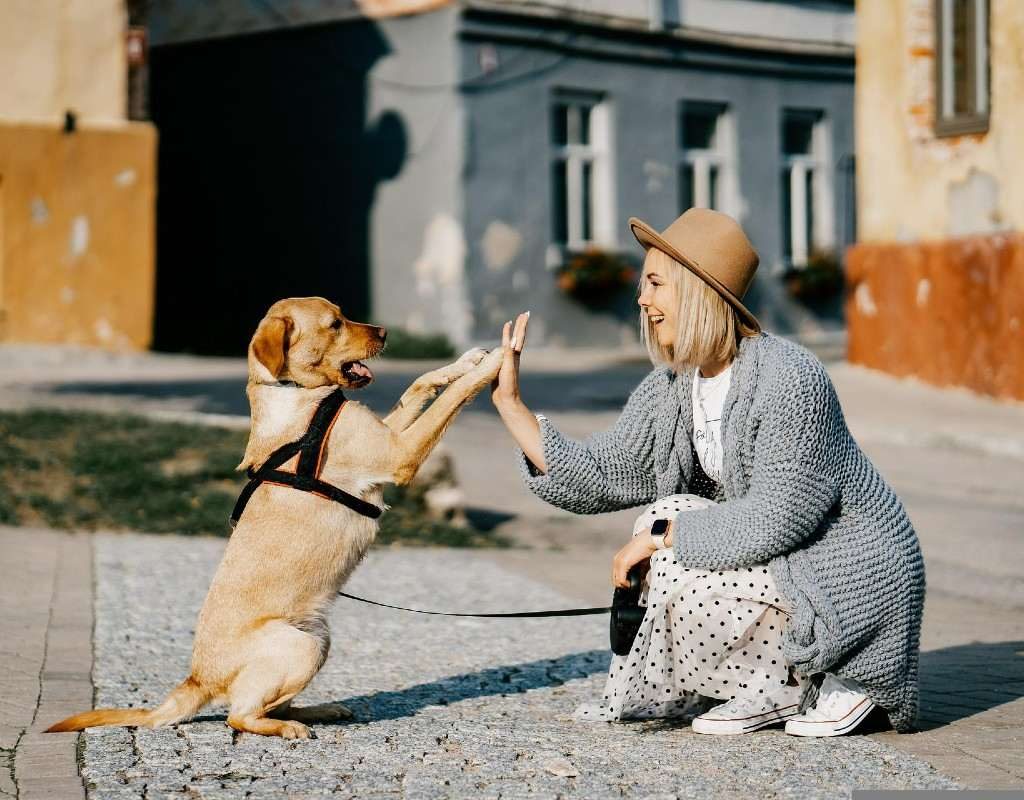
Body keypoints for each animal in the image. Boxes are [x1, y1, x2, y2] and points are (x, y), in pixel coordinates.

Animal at [48, 295, 503, 737]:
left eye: (342, 315)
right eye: (335, 324)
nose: (386, 332)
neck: (296, 394)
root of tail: (198, 678)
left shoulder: (389, 434)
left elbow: (420, 384)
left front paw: (466, 360)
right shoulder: (398, 453)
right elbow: (450, 399)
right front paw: (495, 363)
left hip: (318, 639)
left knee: (271, 703)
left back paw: (318, 711)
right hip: (300, 646)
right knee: (239, 715)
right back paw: (286, 727)